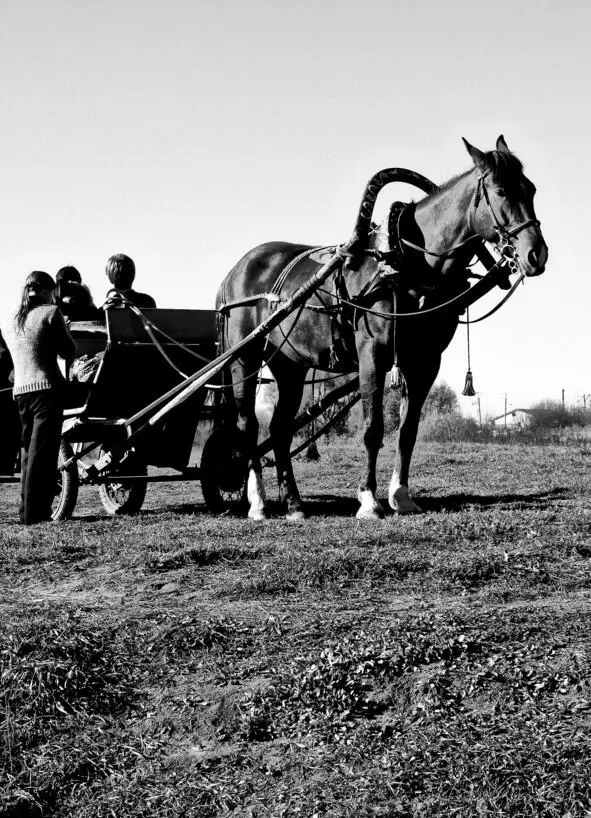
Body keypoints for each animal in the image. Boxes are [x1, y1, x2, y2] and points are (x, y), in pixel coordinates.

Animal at [215, 133, 548, 516]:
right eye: (501, 190)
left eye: (531, 189)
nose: (536, 253)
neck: (408, 265)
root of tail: (236, 271)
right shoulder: (371, 353)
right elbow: (373, 428)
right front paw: (368, 500)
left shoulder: (425, 361)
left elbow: (407, 431)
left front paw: (400, 496)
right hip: (245, 357)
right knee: (248, 425)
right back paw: (257, 502)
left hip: (290, 364)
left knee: (280, 428)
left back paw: (295, 504)